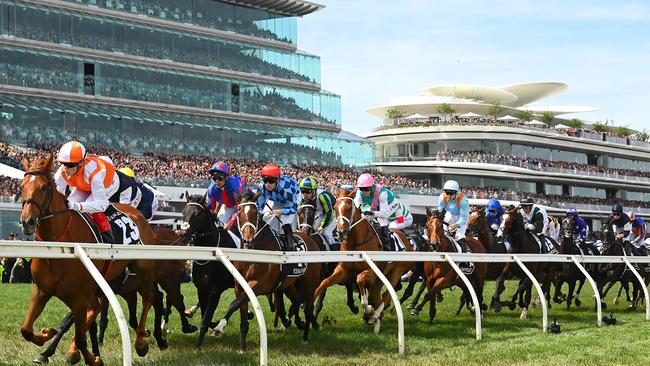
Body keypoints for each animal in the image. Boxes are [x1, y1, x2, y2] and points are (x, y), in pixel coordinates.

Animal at [18, 155, 159, 366]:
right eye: (21, 186)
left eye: (43, 187)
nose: (27, 222)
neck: (61, 246)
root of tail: (138, 214)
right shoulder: (42, 290)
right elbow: (26, 329)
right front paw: (46, 335)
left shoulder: (79, 296)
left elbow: (80, 336)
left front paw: (92, 358)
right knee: (100, 308)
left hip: (143, 270)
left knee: (149, 297)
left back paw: (141, 342)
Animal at [312, 186, 412, 328]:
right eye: (335, 207)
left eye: (349, 207)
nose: (341, 232)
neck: (356, 243)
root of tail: (406, 237)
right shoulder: (343, 271)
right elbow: (323, 283)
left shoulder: (371, 272)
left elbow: (360, 279)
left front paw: (368, 308)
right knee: (378, 293)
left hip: (397, 271)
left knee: (387, 295)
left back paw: (375, 314)